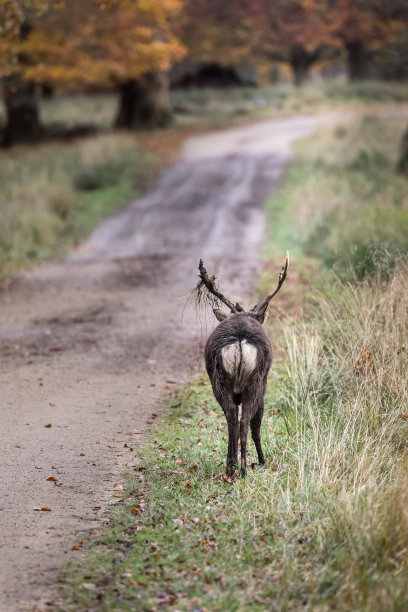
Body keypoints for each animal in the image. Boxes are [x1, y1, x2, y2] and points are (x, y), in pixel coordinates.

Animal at [197, 256, 286, 478]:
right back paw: (244, 468)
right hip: (255, 382)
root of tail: (239, 341)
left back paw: (231, 466)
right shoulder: (264, 389)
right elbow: (256, 427)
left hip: (220, 381)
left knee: (231, 418)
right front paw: (262, 460)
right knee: (245, 422)